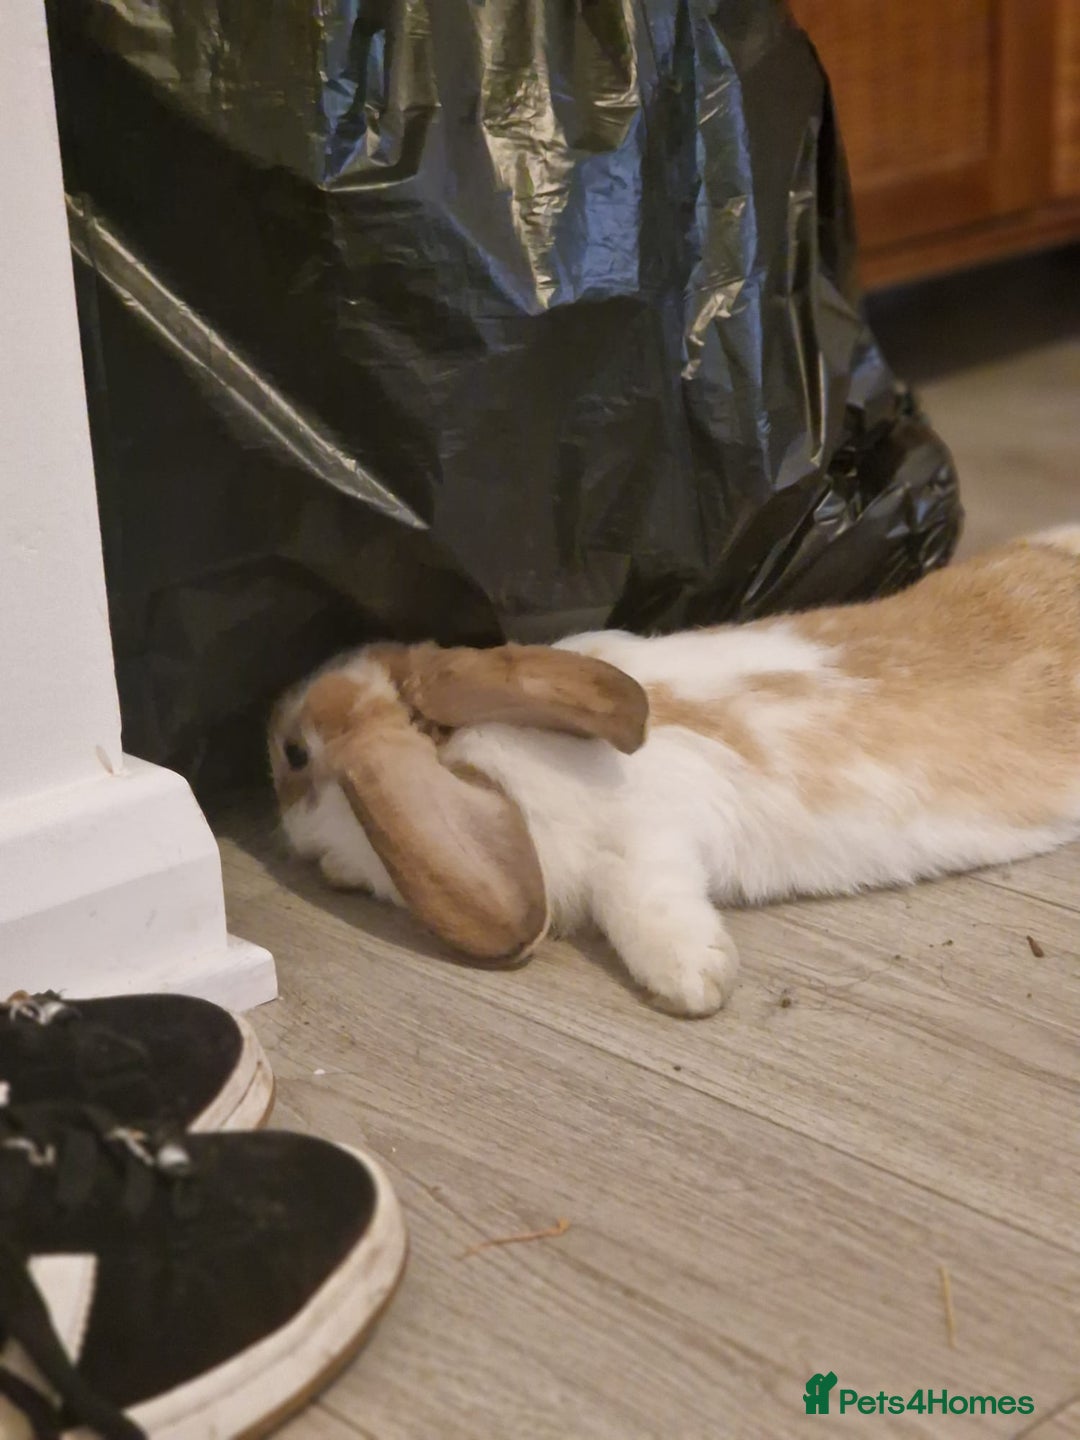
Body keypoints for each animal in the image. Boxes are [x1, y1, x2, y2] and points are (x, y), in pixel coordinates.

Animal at [268, 528, 1080, 1017]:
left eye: (294, 754)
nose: (286, 832)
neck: (472, 749)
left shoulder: (638, 846)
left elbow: (647, 906)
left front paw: (698, 984)